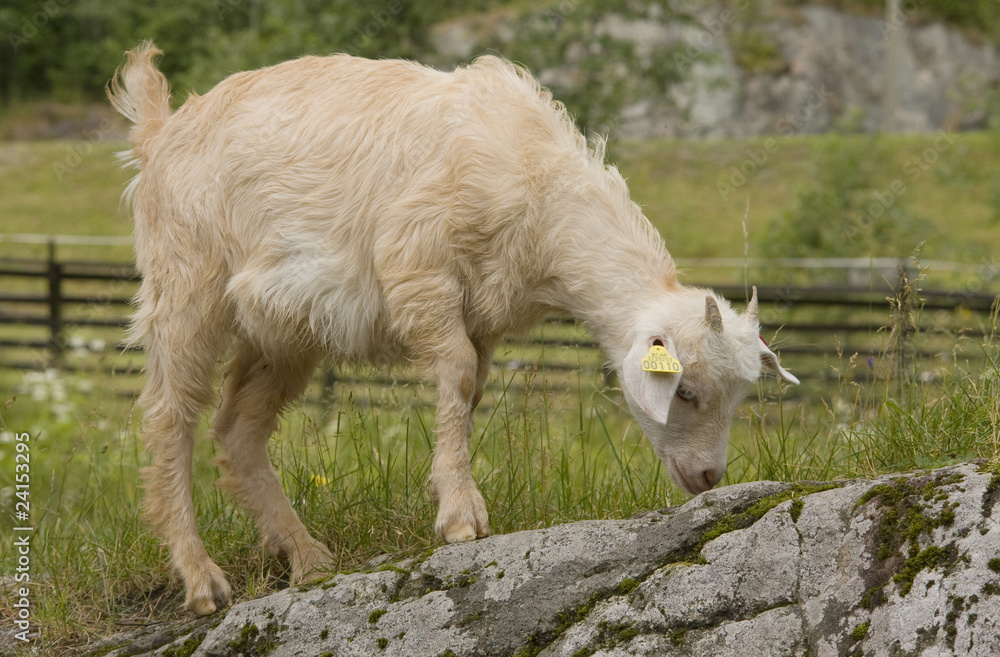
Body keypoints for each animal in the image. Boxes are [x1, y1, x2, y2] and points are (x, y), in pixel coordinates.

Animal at [107, 41, 798, 616]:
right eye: (685, 391)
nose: (708, 479)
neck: (536, 185)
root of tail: (160, 131)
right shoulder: (419, 268)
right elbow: (458, 376)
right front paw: (463, 516)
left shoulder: (481, 316)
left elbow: (467, 393)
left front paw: (453, 494)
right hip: (186, 282)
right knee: (170, 416)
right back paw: (202, 578)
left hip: (283, 327)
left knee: (237, 428)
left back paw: (306, 558)